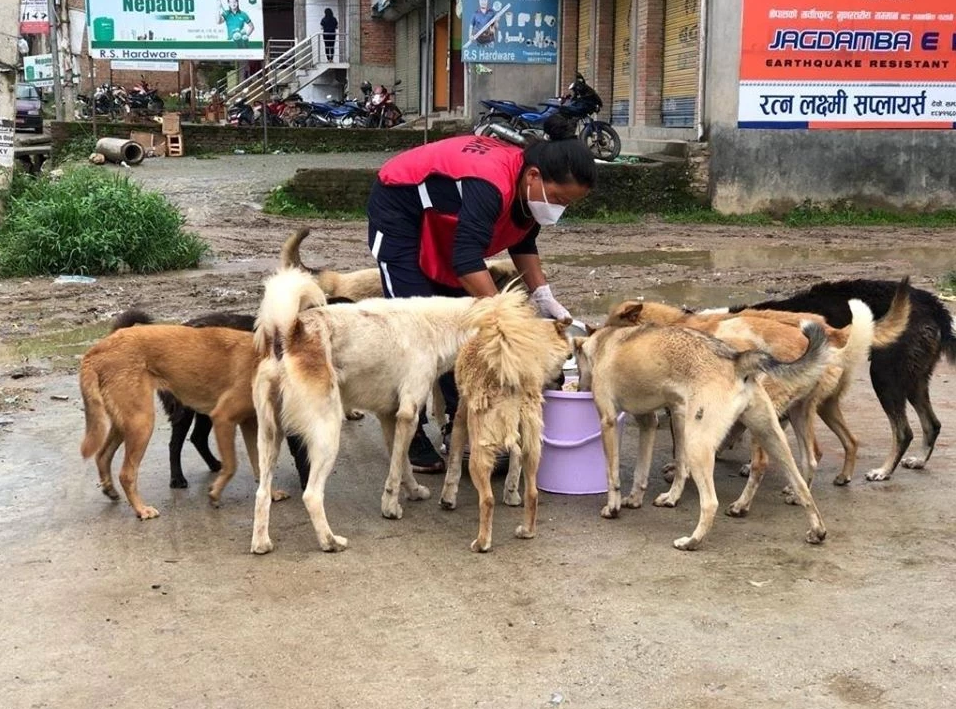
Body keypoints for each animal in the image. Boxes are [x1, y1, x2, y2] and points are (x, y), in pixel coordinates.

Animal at [250, 266, 524, 552]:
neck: (437, 328)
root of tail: (290, 332)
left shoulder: (391, 418)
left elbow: (402, 463)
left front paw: (413, 492)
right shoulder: (408, 415)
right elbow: (394, 472)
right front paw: (391, 507)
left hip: (269, 436)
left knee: (262, 493)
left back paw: (261, 543)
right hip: (327, 434)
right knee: (312, 495)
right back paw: (330, 541)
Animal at [438, 290, 572, 552]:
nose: (562, 381)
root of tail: (509, 382)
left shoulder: (461, 417)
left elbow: (454, 466)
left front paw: (448, 499)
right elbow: (514, 463)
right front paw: (511, 493)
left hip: (480, 452)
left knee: (487, 500)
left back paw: (482, 542)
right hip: (533, 448)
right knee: (532, 493)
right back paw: (527, 531)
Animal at [572, 320, 832, 548]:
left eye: (578, 362)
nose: (578, 388)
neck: (603, 342)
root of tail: (737, 360)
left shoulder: (608, 422)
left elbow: (612, 475)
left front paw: (612, 507)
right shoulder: (649, 423)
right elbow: (641, 471)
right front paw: (635, 499)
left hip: (697, 444)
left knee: (710, 502)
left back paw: (692, 541)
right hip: (772, 437)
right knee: (801, 483)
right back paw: (817, 530)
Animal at [736, 276, 952, 482]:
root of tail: (933, 305)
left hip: (885, 377)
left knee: (904, 432)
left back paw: (884, 471)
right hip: (913, 381)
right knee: (933, 424)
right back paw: (919, 460)